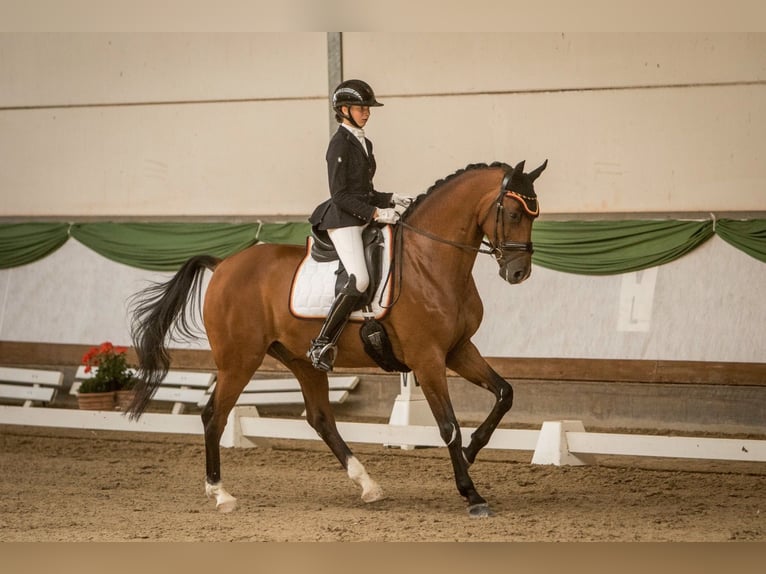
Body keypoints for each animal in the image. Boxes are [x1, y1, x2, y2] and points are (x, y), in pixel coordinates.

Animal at [127, 160, 544, 520]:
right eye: (513, 213)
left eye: (534, 215)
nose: (519, 272)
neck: (430, 262)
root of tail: (224, 264)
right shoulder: (427, 359)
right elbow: (448, 426)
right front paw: (471, 494)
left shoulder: (458, 349)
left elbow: (505, 394)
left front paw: (472, 451)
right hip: (238, 360)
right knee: (214, 415)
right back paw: (221, 494)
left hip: (301, 360)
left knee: (321, 419)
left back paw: (368, 484)